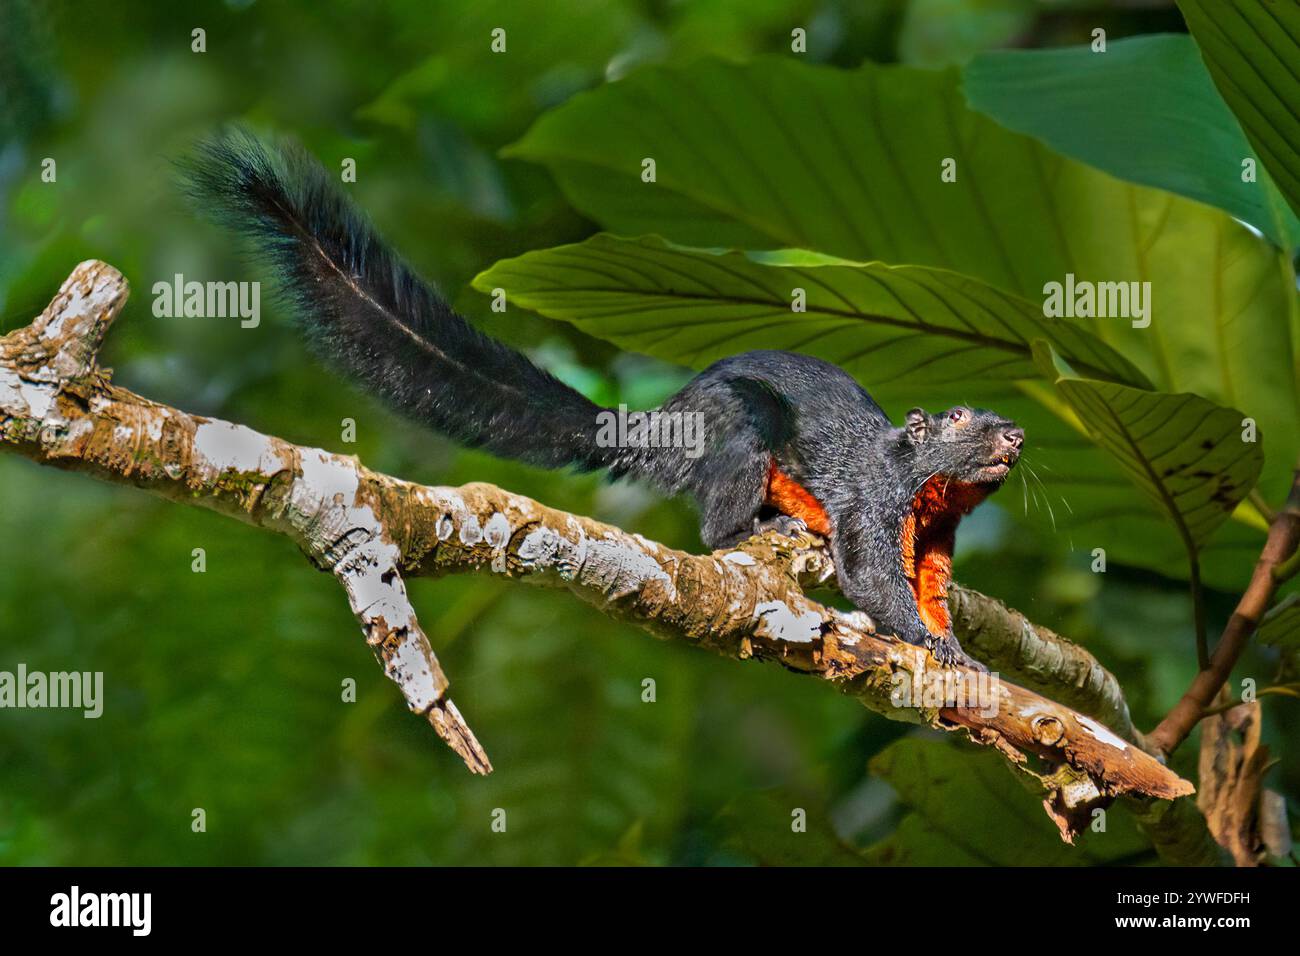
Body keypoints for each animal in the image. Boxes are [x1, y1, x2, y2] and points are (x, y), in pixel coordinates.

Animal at [181, 129, 1023, 669]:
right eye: (958, 417)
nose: (1015, 436)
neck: (926, 488)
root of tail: (661, 422)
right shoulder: (872, 494)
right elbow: (870, 575)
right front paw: (926, 641)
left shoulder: (938, 536)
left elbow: (932, 587)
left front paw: (954, 643)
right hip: (734, 420)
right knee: (721, 509)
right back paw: (757, 524)